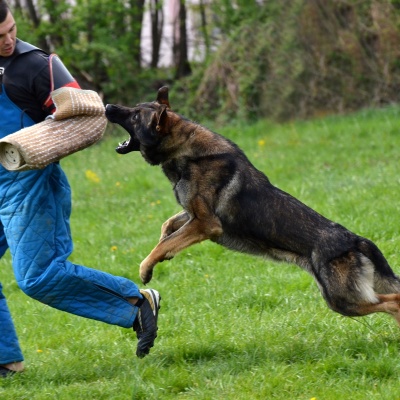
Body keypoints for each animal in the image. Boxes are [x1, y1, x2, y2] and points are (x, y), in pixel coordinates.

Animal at [104, 86, 400, 324]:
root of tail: (356, 240)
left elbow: (165, 243)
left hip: (342, 300)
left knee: (393, 302)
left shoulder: (206, 224)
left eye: (134, 116)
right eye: (134, 108)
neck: (185, 150)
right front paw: (162, 250)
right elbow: (168, 228)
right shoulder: (193, 215)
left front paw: (146, 268)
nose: (107, 106)